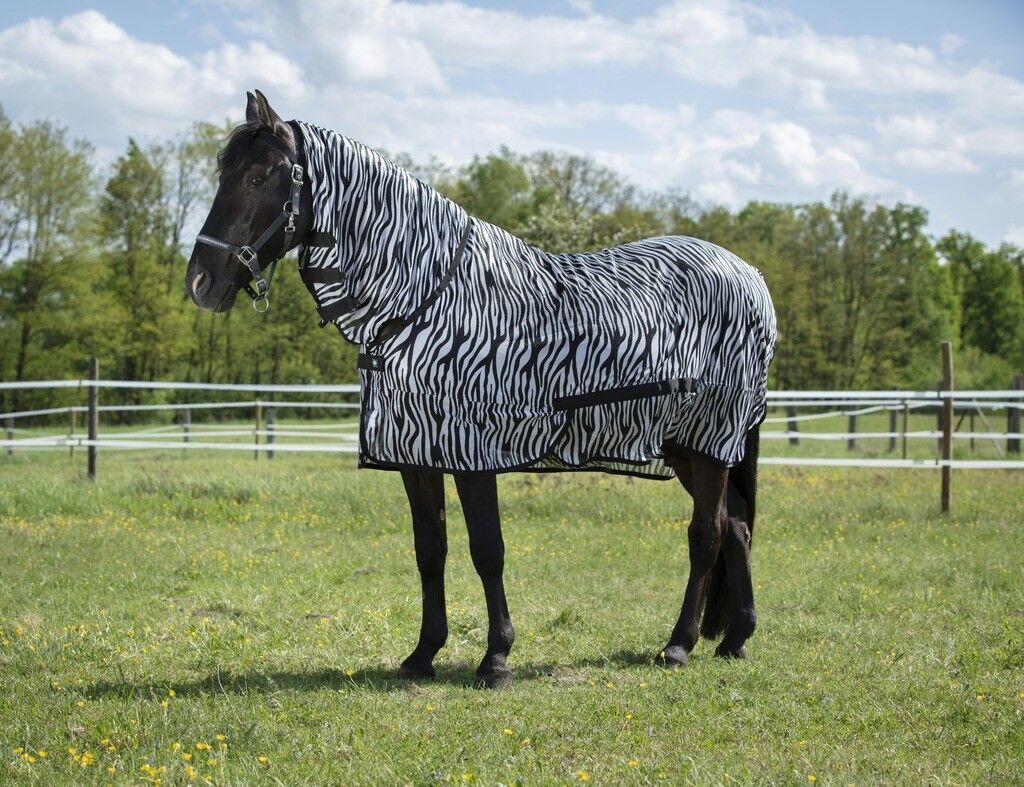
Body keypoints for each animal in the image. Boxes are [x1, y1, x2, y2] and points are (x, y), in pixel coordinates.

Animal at [186, 90, 776, 688]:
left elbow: (487, 550)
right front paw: (422, 654)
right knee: (736, 527)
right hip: (687, 448)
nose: (200, 283)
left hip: (711, 440)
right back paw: (737, 637)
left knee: (706, 534)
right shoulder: (417, 454)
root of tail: (749, 273)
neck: (427, 298)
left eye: (258, 176)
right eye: (225, 173)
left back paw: (678, 645)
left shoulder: (473, 453)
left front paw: (496, 658)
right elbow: (431, 548)